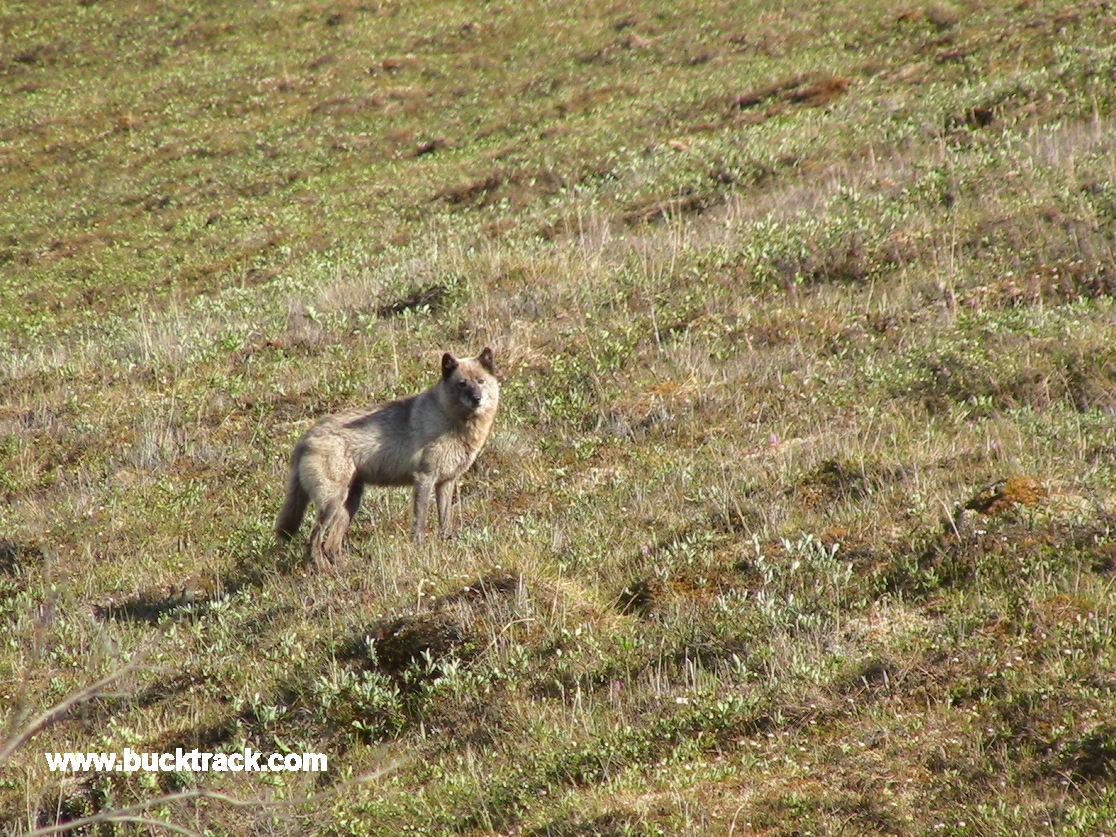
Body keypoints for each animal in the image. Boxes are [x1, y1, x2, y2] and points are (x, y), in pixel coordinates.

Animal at [279, 348, 502, 571]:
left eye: (480, 381)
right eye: (462, 383)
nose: (477, 399)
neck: (452, 421)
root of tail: (306, 436)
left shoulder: (446, 482)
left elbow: (445, 520)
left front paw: (448, 544)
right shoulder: (424, 478)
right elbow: (420, 520)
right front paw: (418, 549)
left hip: (349, 504)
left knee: (331, 544)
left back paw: (343, 569)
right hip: (333, 503)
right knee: (314, 539)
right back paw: (322, 569)